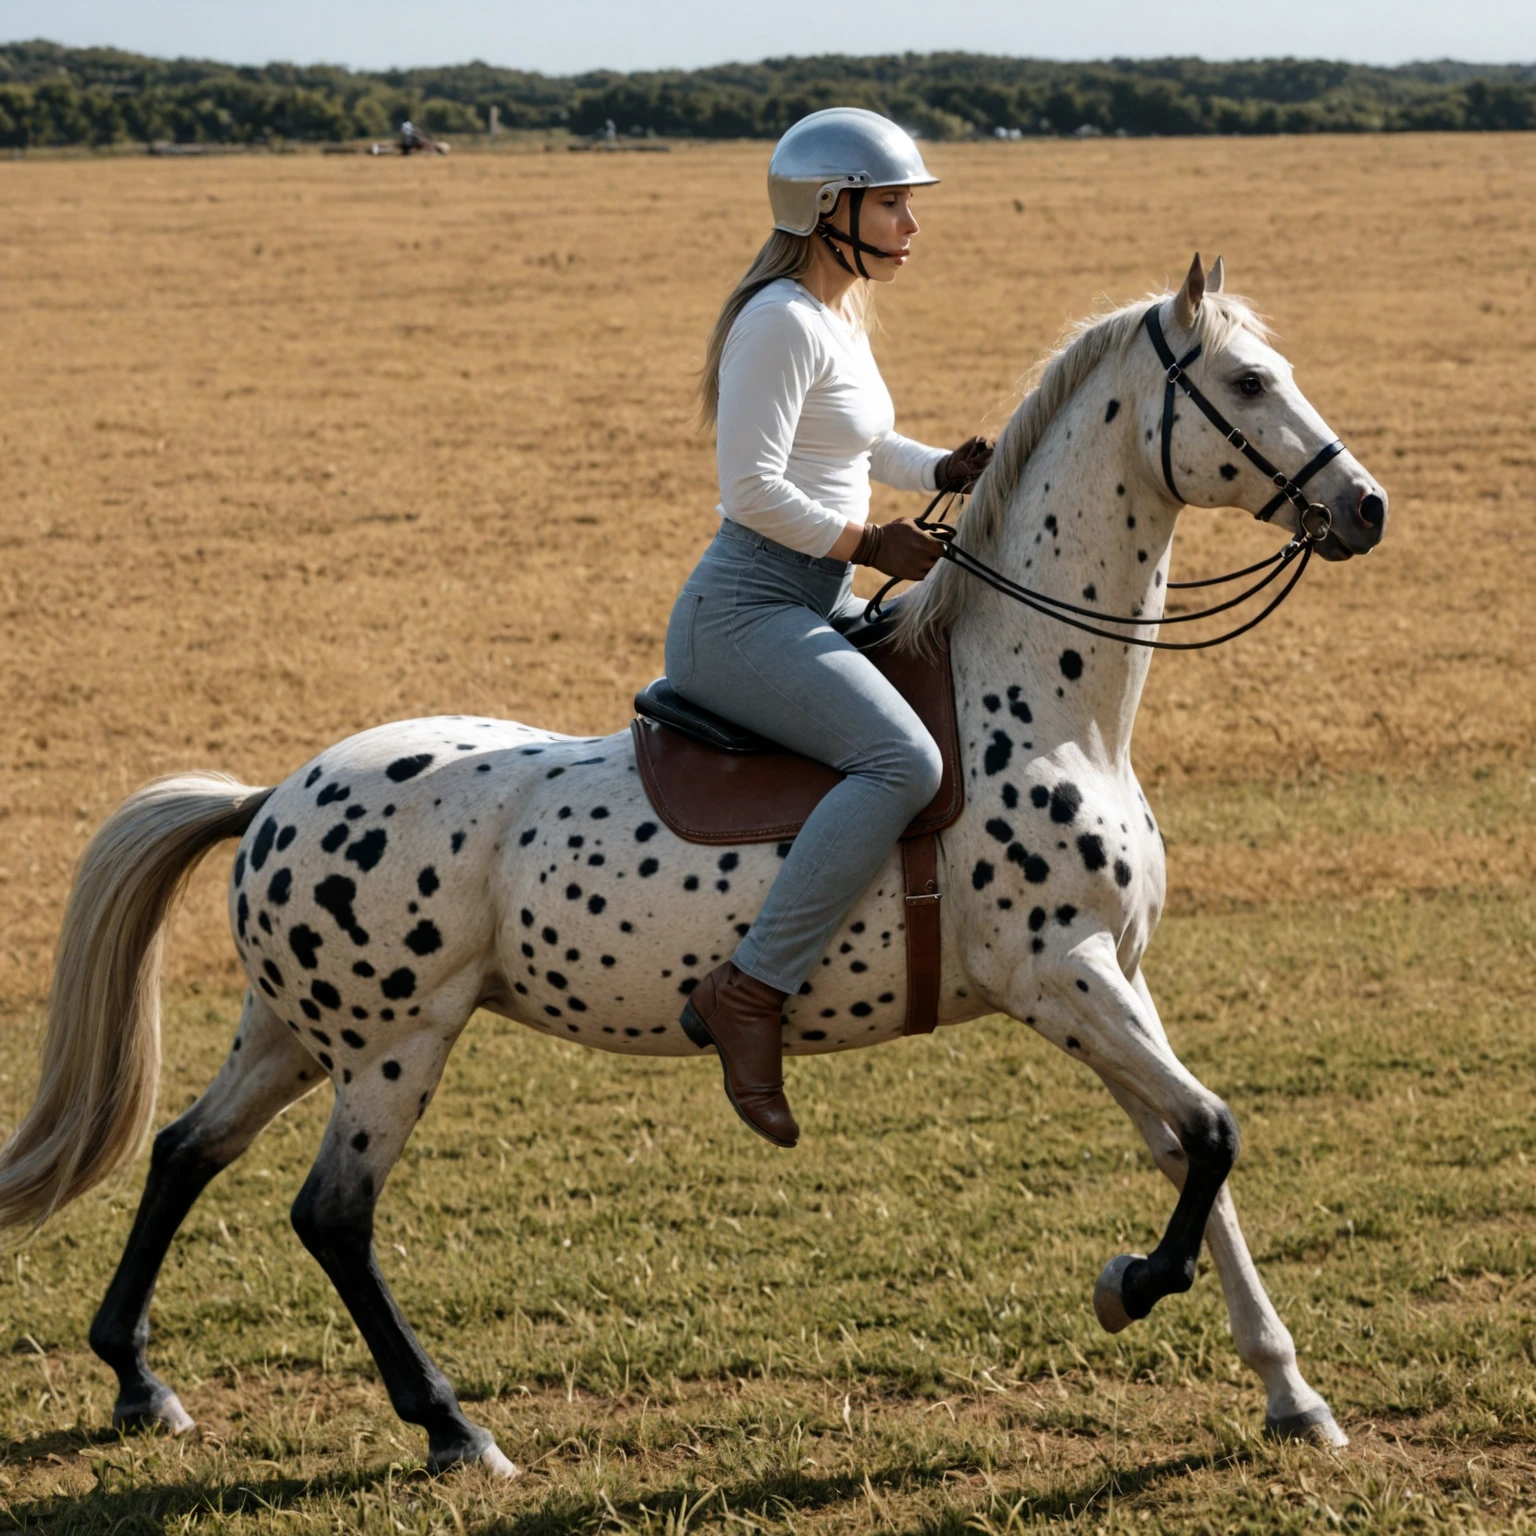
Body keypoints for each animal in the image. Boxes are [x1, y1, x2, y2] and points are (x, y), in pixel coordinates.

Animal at [0, 255, 1387, 1477]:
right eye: (1251, 380)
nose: (1365, 506)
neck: (1044, 704)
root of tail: (271, 798)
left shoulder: (1113, 980)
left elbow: (1191, 1154)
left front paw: (1291, 1395)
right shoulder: (1062, 978)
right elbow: (1211, 1132)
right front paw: (1127, 1288)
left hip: (293, 1033)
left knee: (184, 1151)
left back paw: (138, 1379)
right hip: (393, 1048)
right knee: (331, 1216)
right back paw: (452, 1427)